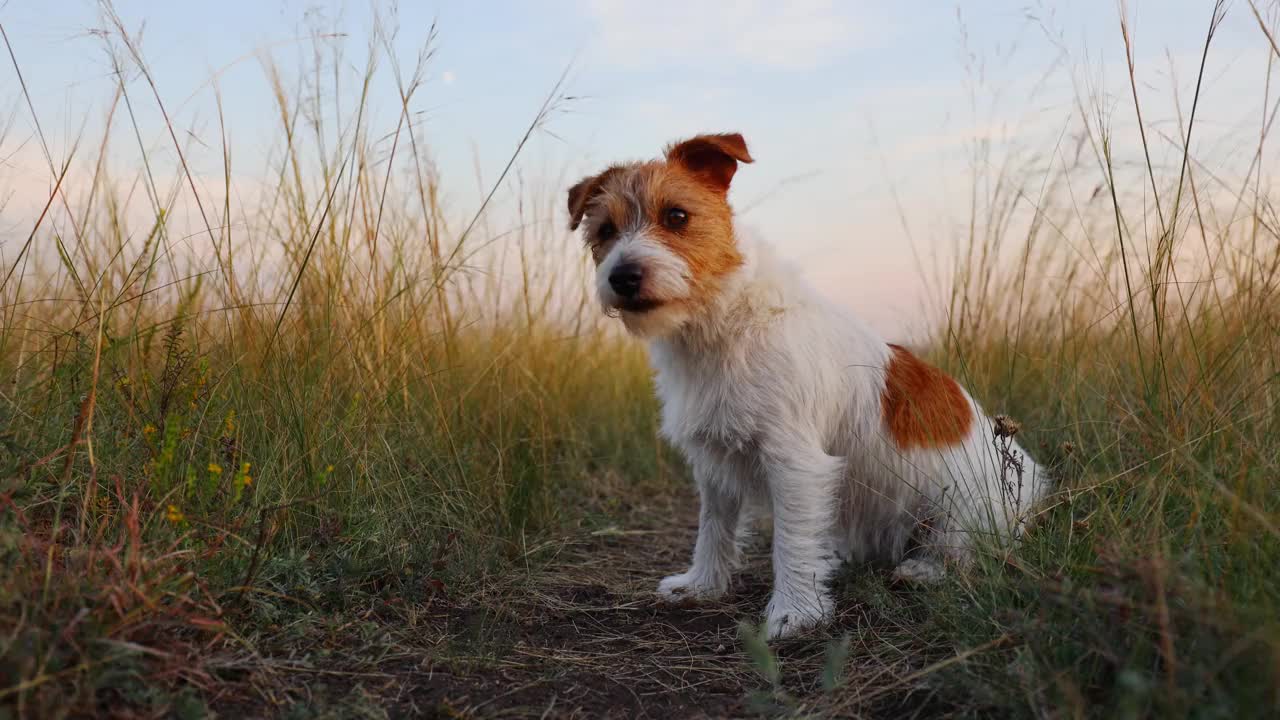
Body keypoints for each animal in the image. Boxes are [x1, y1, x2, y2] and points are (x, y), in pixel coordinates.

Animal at [565, 131, 1044, 635]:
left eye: (676, 216)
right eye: (604, 231)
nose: (623, 276)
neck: (720, 324)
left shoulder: (795, 462)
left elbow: (790, 540)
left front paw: (795, 611)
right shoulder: (714, 461)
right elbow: (714, 528)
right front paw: (702, 585)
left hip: (962, 507)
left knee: (966, 550)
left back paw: (923, 569)